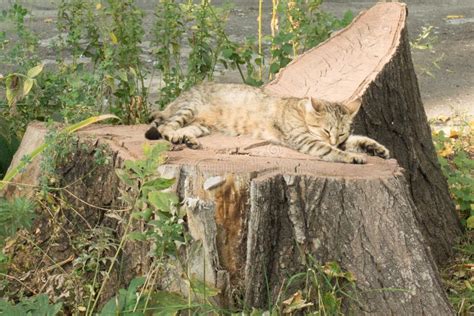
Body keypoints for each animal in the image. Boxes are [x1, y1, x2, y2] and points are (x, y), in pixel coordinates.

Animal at [144, 82, 388, 164]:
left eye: (341, 133)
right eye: (326, 130)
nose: (334, 140)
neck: (301, 112)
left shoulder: (344, 140)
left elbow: (359, 140)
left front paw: (377, 149)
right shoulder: (306, 140)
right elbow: (333, 151)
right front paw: (352, 157)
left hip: (202, 125)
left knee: (184, 129)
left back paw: (189, 140)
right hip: (188, 109)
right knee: (165, 127)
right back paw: (176, 136)